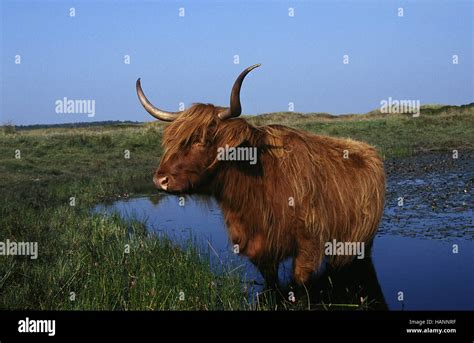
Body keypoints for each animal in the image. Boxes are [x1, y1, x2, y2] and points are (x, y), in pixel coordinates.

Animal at [136, 63, 386, 284]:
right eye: (171, 141)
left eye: (202, 140)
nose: (160, 179)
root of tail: (368, 148)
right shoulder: (259, 252)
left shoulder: (308, 247)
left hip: (364, 241)